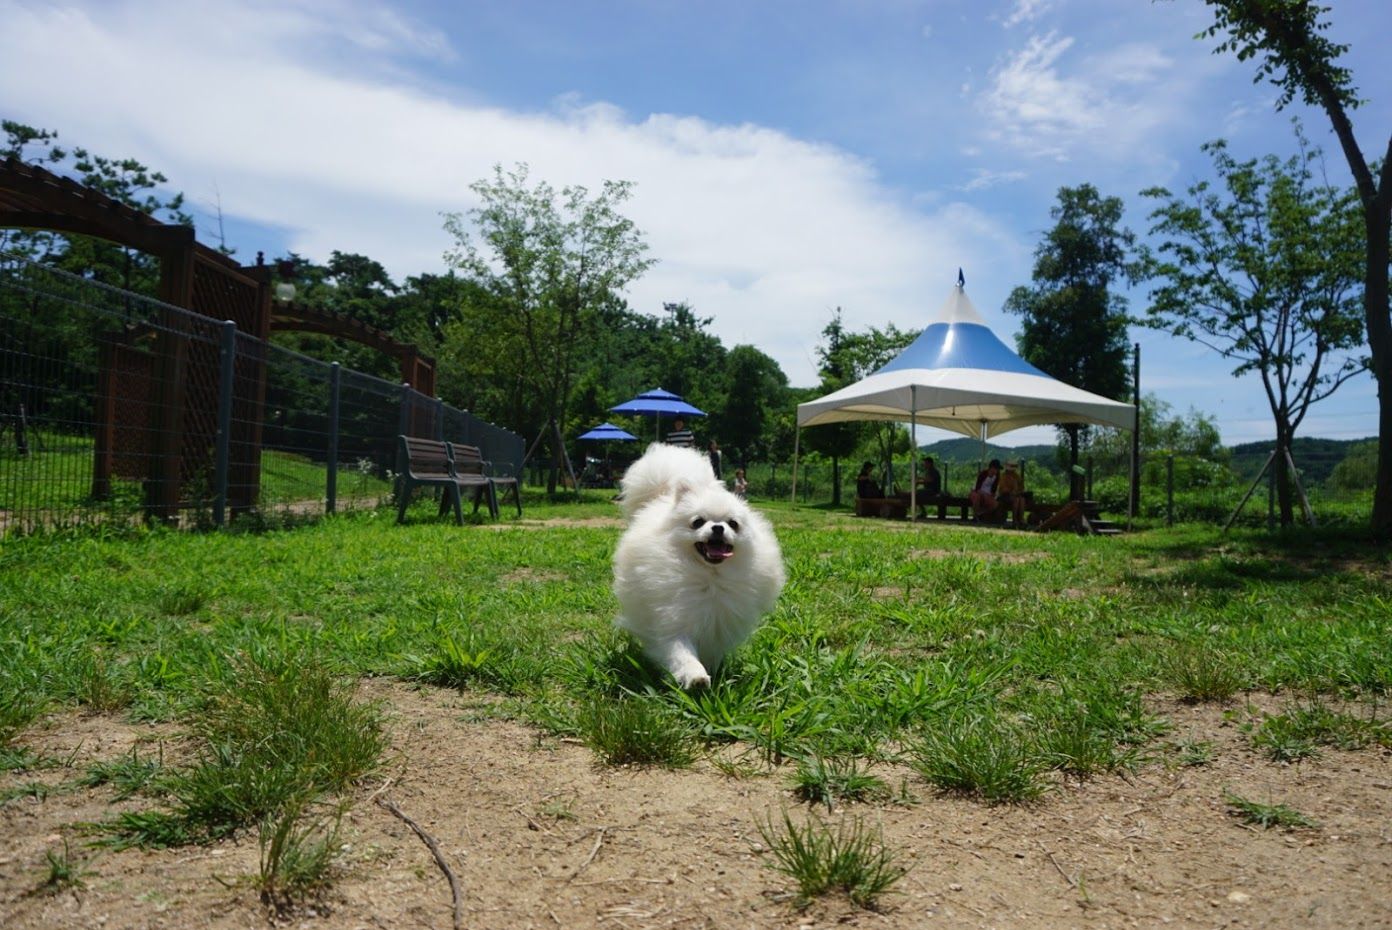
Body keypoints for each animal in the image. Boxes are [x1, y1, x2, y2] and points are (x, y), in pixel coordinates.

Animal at [615, 442, 790, 690]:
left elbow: (711, 652)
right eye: (697, 522)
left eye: (733, 524)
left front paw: (713, 674)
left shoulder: (719, 624)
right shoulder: (673, 621)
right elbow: (682, 653)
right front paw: (695, 677)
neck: (710, 577)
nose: (717, 527)